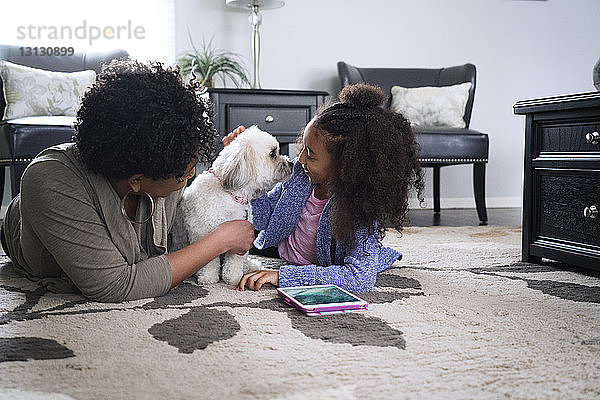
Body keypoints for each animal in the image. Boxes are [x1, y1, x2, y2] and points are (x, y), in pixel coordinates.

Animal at [171, 125, 292, 284]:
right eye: (272, 153)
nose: (291, 163)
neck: (232, 195)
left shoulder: (241, 238)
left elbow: (235, 260)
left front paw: (233, 277)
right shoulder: (203, 233)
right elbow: (209, 261)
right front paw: (208, 278)